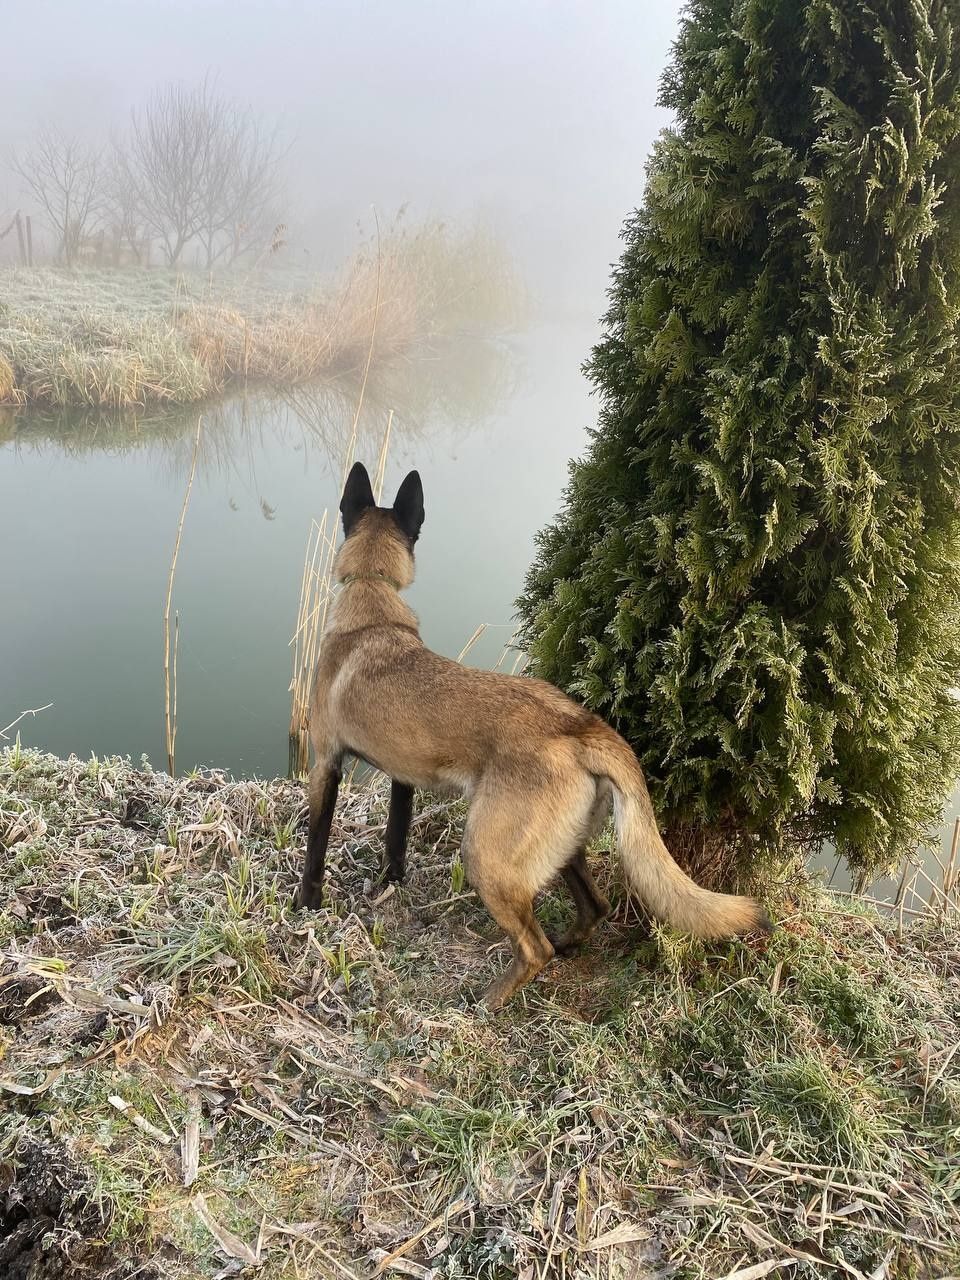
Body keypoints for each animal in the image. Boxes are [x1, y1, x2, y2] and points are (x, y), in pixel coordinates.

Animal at [296, 463, 773, 1008]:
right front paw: (388, 884)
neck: (371, 598)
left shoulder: (325, 765)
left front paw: (306, 905)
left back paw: (488, 1001)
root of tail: (581, 727)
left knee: (533, 946)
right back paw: (567, 948)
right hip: (563, 850)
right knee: (595, 907)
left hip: (485, 857)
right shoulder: (403, 778)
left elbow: (315, 847)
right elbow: (395, 840)